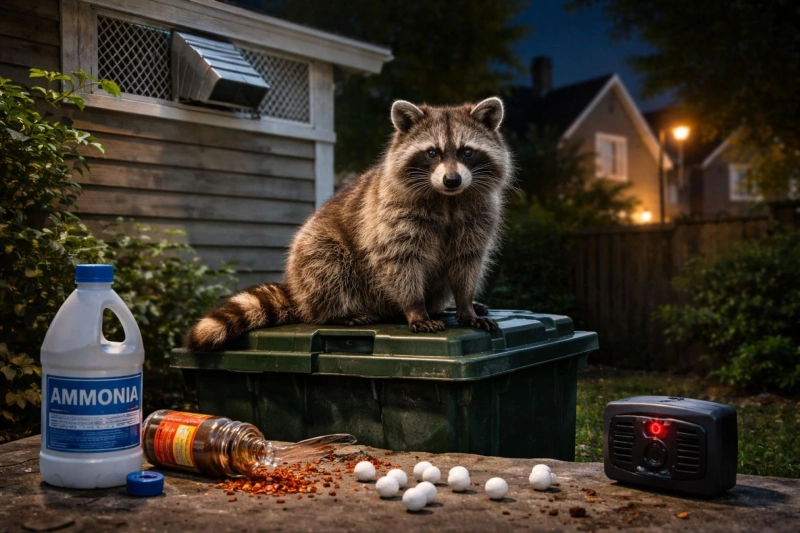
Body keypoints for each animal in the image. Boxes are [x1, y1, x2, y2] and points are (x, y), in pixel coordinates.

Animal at [185, 97, 513, 352]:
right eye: (432, 152)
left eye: (466, 151)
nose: (452, 179)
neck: (447, 199)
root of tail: (297, 291)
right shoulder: (391, 219)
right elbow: (400, 262)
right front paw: (415, 308)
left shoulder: (478, 218)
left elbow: (467, 261)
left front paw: (466, 304)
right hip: (315, 254)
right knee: (329, 265)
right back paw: (339, 313)